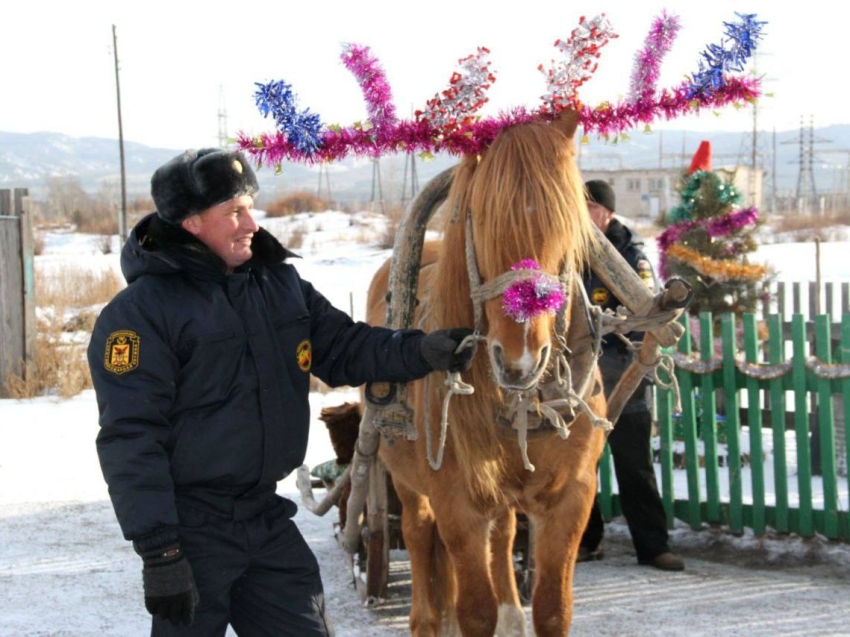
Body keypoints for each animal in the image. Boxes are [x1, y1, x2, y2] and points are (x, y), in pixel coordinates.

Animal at [368, 112, 608, 632]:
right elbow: (474, 612)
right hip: (406, 483)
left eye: (566, 224)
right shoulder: (457, 504)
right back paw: (425, 617)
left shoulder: (572, 498)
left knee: (503, 535)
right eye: (480, 219)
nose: (520, 360)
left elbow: (553, 609)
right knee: (419, 537)